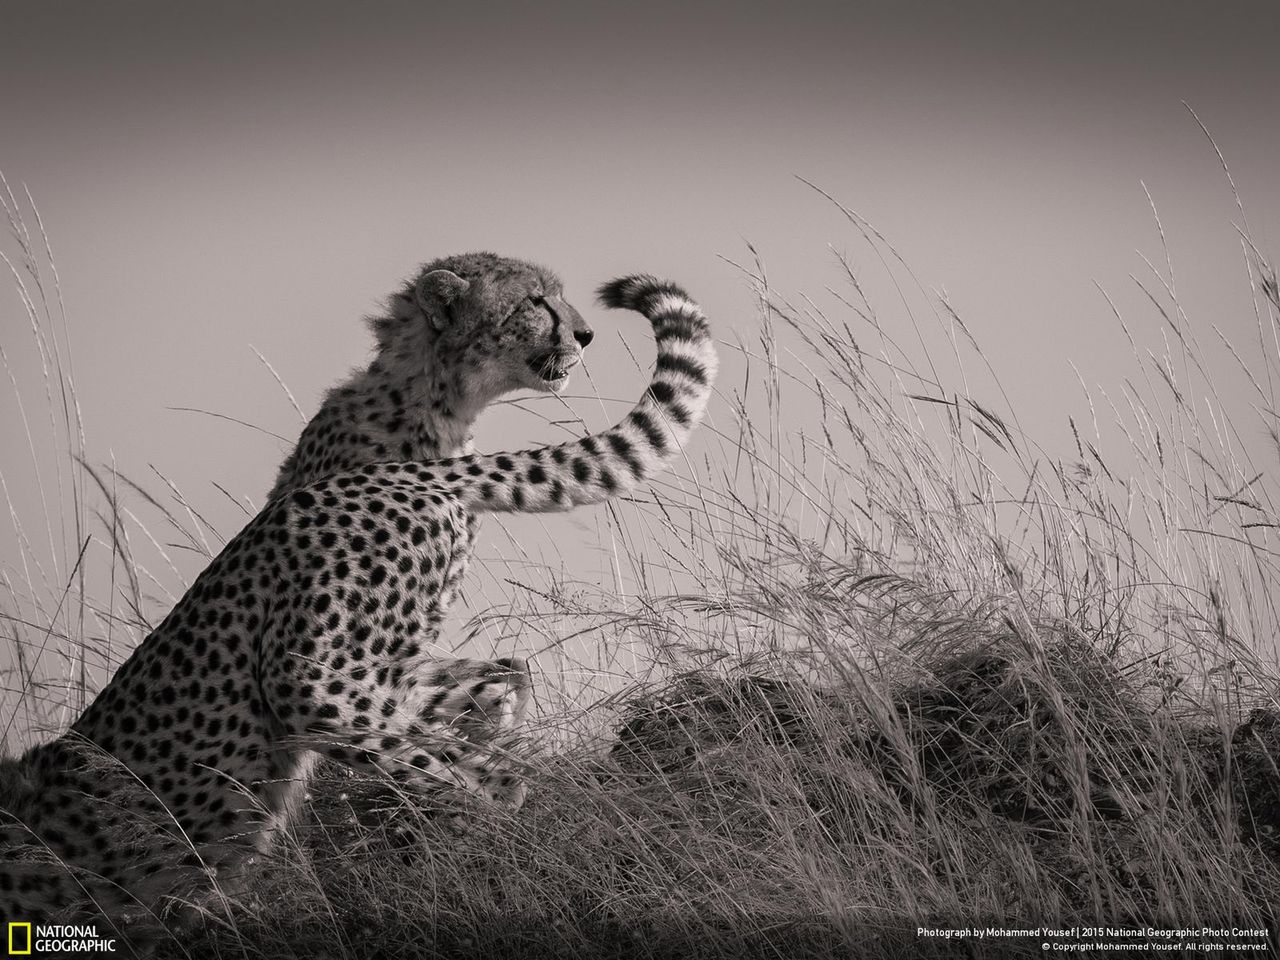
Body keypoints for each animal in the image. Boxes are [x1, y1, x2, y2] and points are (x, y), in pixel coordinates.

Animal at [0, 263, 721, 931]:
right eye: (534, 302)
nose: (584, 333)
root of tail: (404, 477)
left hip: (307, 676)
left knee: (475, 767)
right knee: (487, 710)